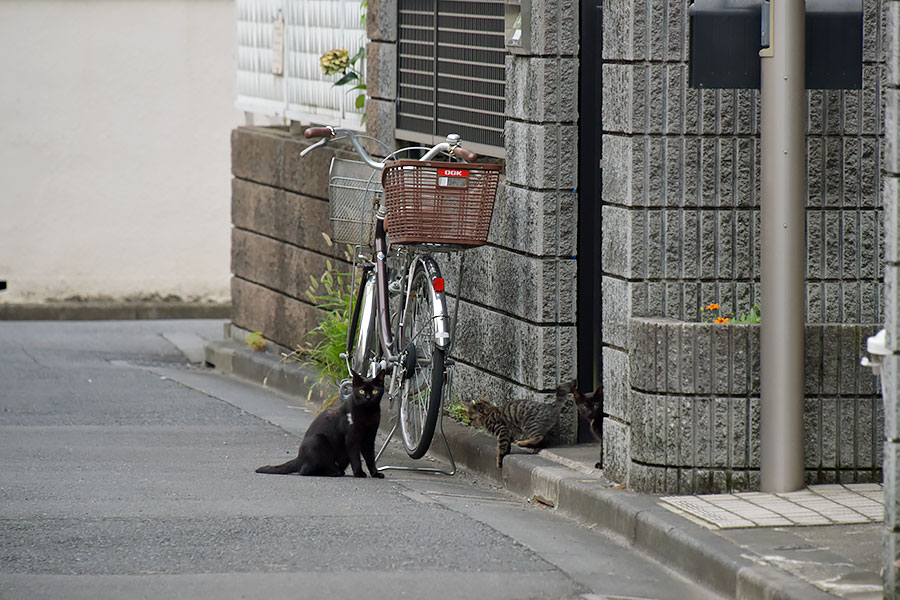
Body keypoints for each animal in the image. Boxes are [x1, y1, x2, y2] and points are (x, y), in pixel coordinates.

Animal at [255, 370, 384, 478]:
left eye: (375, 391)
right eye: (361, 391)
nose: (368, 398)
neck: (368, 414)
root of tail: (299, 457)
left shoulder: (370, 437)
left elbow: (370, 458)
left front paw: (375, 473)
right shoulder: (351, 437)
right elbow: (356, 457)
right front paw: (359, 473)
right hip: (317, 440)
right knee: (305, 470)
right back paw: (334, 472)